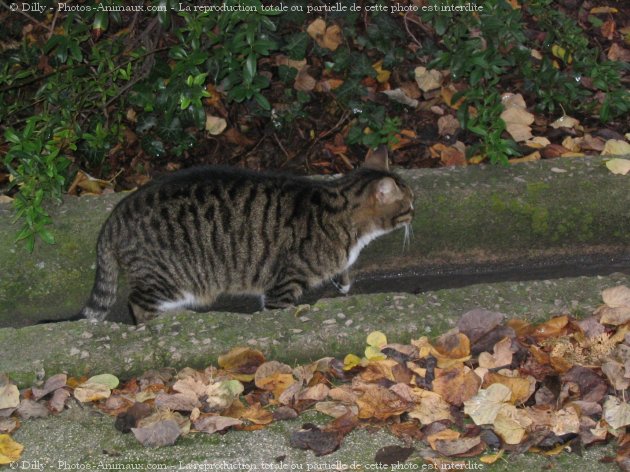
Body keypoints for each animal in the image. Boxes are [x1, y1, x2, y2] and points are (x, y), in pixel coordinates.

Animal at [80, 147, 414, 324]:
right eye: (409, 203)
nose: (416, 209)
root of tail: (115, 215)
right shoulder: (284, 283)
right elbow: (278, 309)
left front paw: (343, 281)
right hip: (166, 280)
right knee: (138, 304)